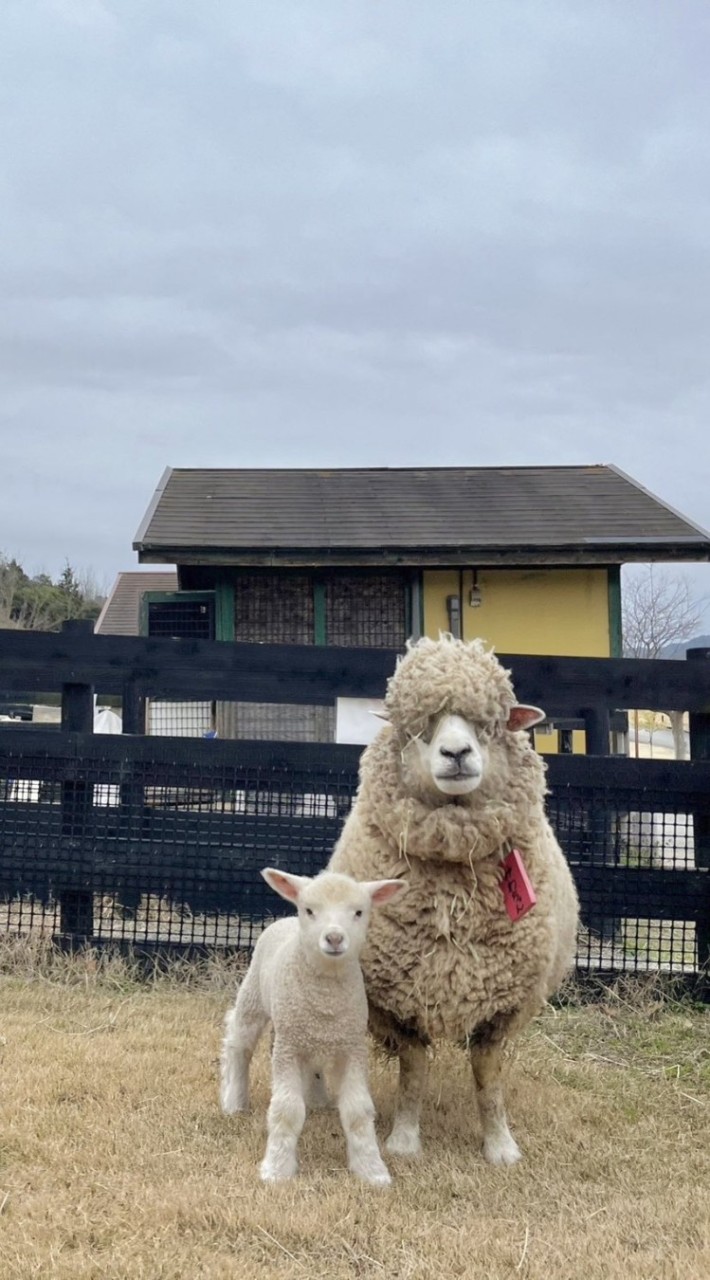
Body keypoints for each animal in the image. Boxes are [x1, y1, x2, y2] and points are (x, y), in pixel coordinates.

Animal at [220, 865, 409, 1182]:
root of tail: (285, 919)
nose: (333, 938)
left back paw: (317, 1100)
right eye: (310, 910)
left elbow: (358, 1111)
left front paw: (372, 1170)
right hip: (254, 996)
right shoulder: (288, 1050)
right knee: (239, 1043)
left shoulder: (352, 1047)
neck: (325, 999)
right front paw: (277, 1169)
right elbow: (287, 1110)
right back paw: (235, 1100)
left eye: (359, 912)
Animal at [330, 634, 580, 1167]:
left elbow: (488, 1080)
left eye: (491, 723)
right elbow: (413, 1074)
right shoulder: (398, 1001)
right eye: (417, 728)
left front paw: (500, 1145)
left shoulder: (501, 1007)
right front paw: (404, 1141)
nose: (457, 752)